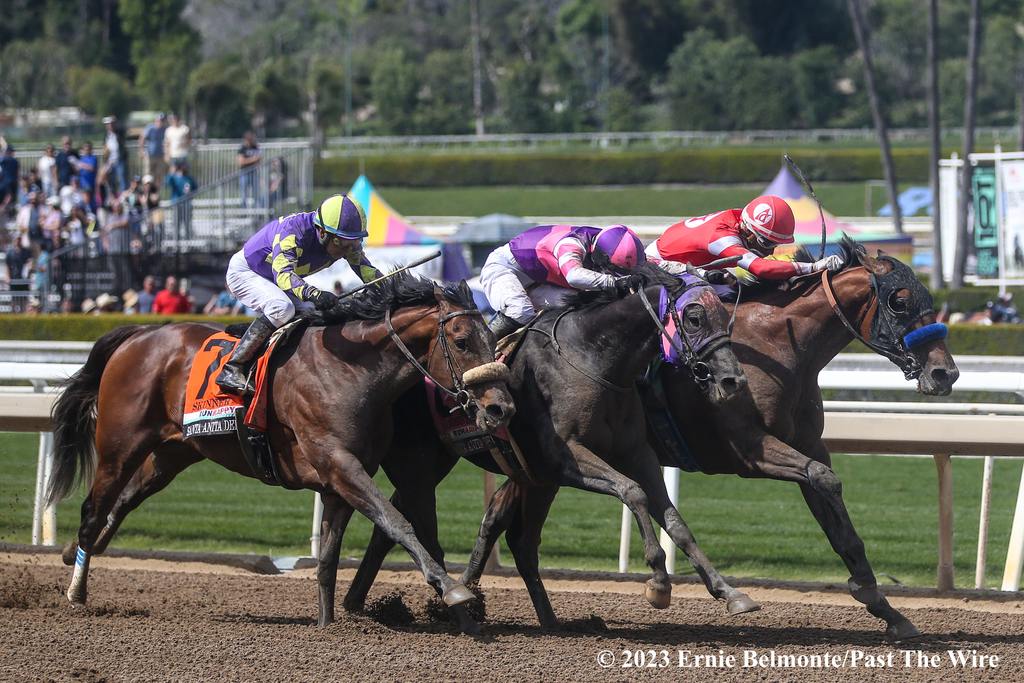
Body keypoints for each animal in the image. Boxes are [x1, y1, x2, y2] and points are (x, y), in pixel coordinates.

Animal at [46, 274, 512, 618]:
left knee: (122, 501)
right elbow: (397, 522)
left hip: (171, 454)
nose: (500, 407)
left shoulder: (342, 478)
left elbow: (329, 560)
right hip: (120, 444)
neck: (350, 371)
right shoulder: (340, 465)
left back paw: (74, 555)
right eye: (461, 341)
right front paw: (453, 589)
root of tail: (138, 335)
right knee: (93, 509)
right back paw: (76, 593)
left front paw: (326, 623)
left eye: (493, 339)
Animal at [344, 264, 761, 634]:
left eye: (725, 317)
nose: (732, 380)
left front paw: (730, 592)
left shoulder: (633, 454)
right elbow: (633, 492)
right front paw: (658, 582)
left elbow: (675, 521)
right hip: (420, 463)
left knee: (514, 542)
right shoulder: (564, 458)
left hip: (482, 471)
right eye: (694, 317)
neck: (593, 358)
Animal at [456, 239, 958, 643]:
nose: (945, 373)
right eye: (898, 300)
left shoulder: (809, 445)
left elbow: (834, 508)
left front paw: (885, 607)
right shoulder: (749, 450)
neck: (779, 347)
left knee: (505, 524)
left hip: (535, 470)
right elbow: (821, 479)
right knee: (507, 525)